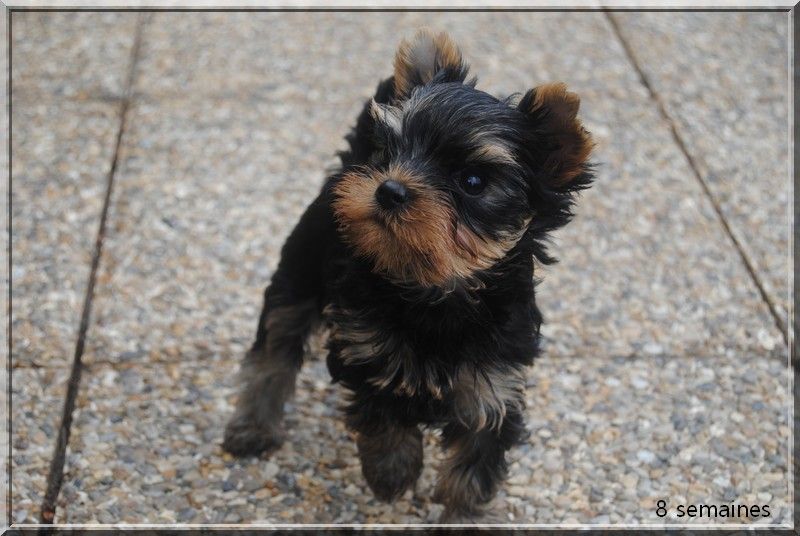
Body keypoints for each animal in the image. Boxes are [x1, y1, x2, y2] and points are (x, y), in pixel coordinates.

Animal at [223, 28, 592, 520]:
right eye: (391, 152)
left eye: (473, 181)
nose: (389, 188)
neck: (435, 290)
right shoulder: (365, 350)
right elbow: (383, 415)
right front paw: (391, 473)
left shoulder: (495, 383)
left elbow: (474, 466)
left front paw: (461, 516)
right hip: (297, 274)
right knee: (273, 353)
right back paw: (254, 426)